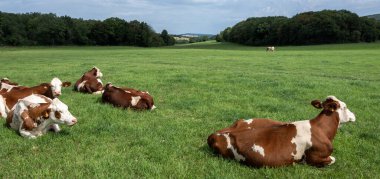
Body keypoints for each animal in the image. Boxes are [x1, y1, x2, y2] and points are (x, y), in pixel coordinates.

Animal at [206, 96, 354, 168]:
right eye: (345, 107)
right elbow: (332, 159)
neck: (322, 130)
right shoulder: (315, 157)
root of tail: (214, 134)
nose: (354, 115)